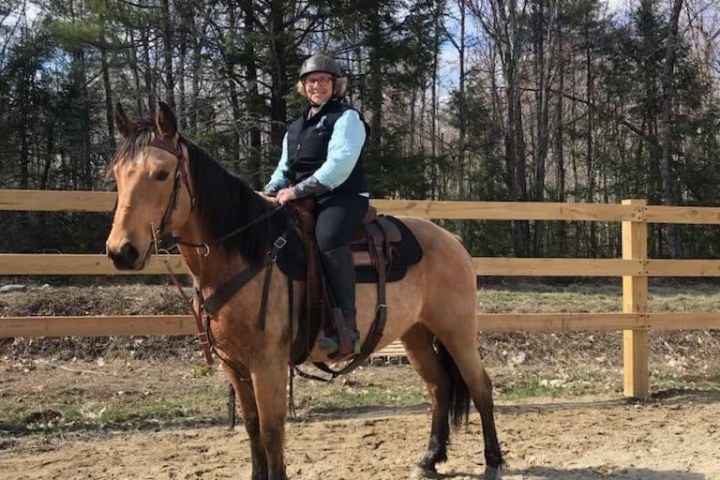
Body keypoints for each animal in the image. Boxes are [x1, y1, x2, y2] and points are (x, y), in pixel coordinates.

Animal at [105, 102, 504, 480]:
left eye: (161, 173)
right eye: (116, 173)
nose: (121, 251)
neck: (247, 251)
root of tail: (452, 240)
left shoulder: (267, 364)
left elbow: (271, 432)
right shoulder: (234, 364)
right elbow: (251, 427)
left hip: (457, 331)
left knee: (480, 386)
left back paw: (493, 461)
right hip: (416, 335)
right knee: (439, 388)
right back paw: (429, 459)